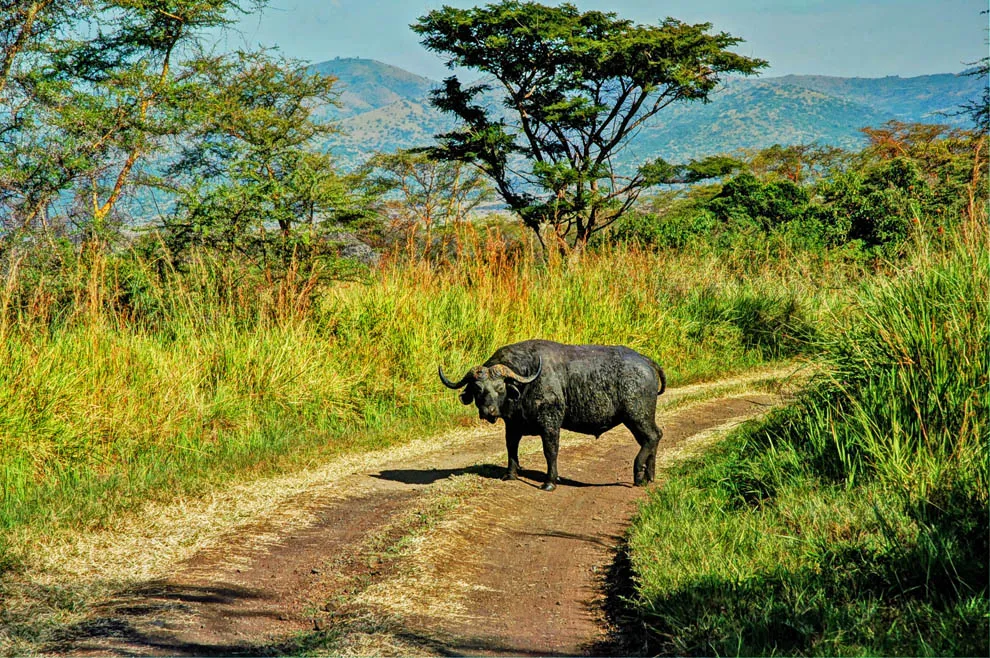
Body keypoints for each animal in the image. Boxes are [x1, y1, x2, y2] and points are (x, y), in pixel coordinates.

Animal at [439, 339, 666, 491]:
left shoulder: (550, 424)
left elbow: (550, 451)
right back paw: (649, 476)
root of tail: (645, 360)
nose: (488, 412)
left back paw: (638, 473)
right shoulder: (512, 425)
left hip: (637, 415)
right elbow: (511, 448)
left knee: (652, 437)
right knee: (653, 437)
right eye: (478, 389)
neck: (526, 384)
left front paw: (549, 482)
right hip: (640, 418)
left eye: (500, 387)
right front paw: (510, 474)